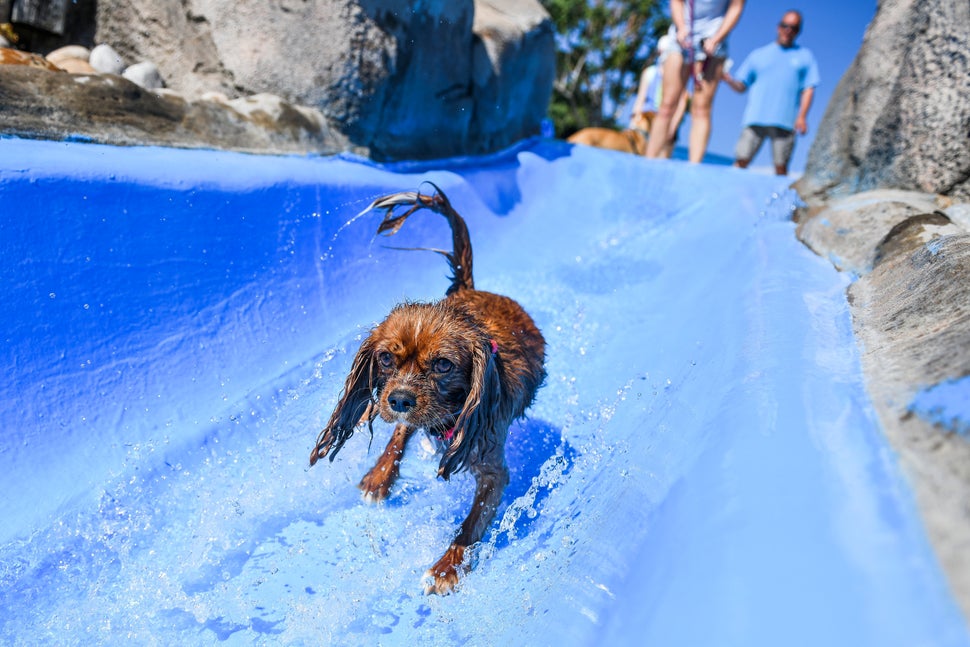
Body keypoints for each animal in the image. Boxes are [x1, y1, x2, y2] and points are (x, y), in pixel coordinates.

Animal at [310, 185, 544, 596]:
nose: (399, 398)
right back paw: (380, 475)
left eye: (443, 365)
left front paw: (446, 567)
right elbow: (401, 432)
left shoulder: (492, 469)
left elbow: (469, 525)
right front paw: (381, 475)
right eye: (386, 358)